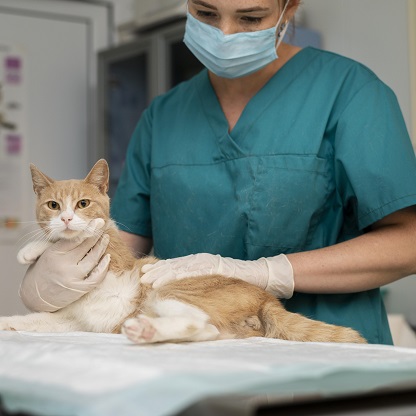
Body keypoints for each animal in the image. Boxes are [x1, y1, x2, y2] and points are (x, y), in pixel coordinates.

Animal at [0, 159, 368, 344]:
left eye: (83, 204)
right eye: (53, 205)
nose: (65, 218)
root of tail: (266, 297)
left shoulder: (113, 253)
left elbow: (86, 236)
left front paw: (36, 248)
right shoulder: (71, 320)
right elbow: (32, 320)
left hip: (170, 292)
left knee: (200, 323)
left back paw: (147, 332)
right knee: (212, 331)